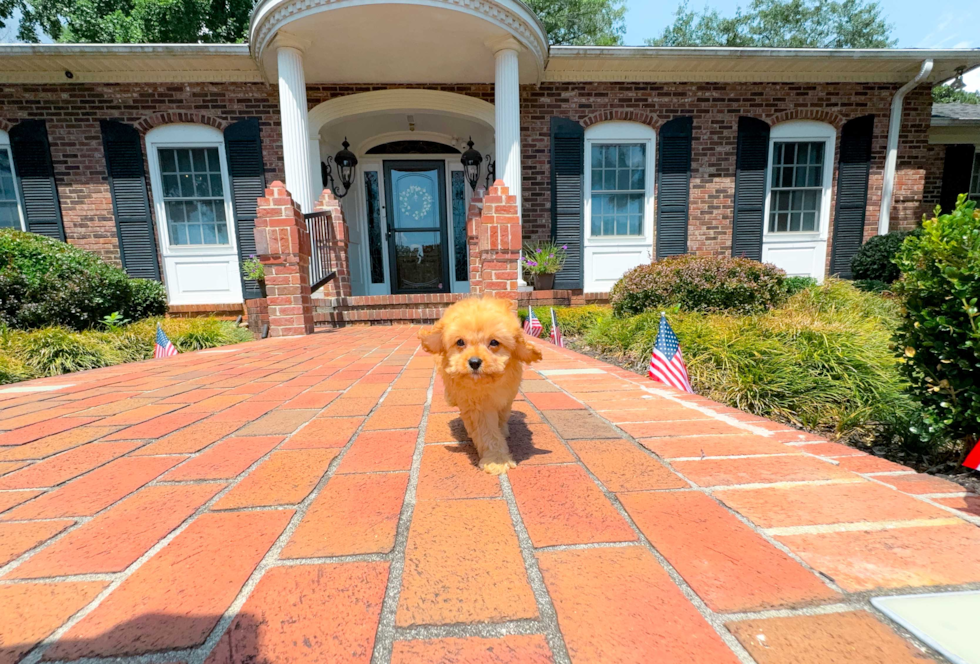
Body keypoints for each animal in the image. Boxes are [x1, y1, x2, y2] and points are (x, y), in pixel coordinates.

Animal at [422, 298, 544, 474]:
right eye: (460, 342)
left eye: (494, 342)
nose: (474, 362)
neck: (486, 383)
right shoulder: (477, 406)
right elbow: (487, 431)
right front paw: (497, 460)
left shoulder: (506, 395)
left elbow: (501, 416)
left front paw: (501, 437)